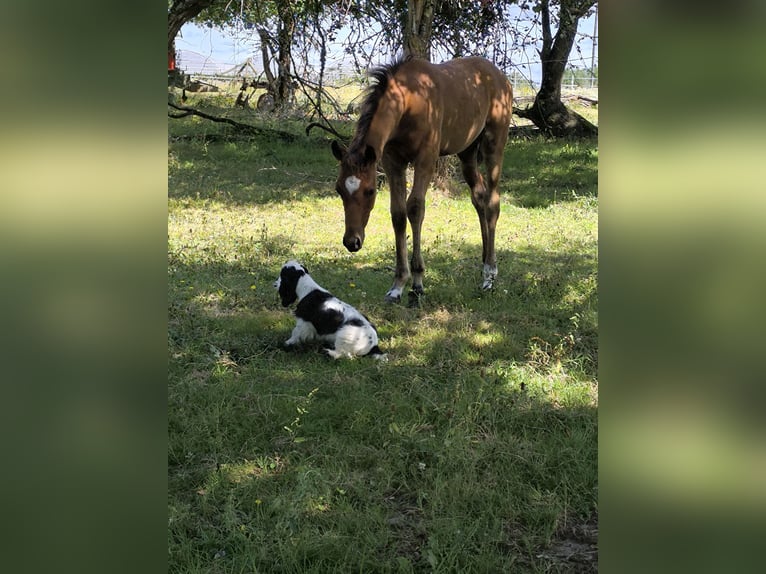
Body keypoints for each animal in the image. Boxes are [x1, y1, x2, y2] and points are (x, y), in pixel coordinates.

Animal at [332, 55, 512, 304]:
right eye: (339, 189)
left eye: (370, 191)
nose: (352, 242)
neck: (409, 102)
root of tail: (500, 76)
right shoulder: (392, 161)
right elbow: (398, 213)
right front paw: (397, 285)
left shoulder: (425, 159)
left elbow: (415, 208)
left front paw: (417, 283)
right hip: (467, 151)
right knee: (479, 196)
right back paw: (484, 261)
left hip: (494, 142)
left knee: (493, 201)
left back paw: (489, 274)